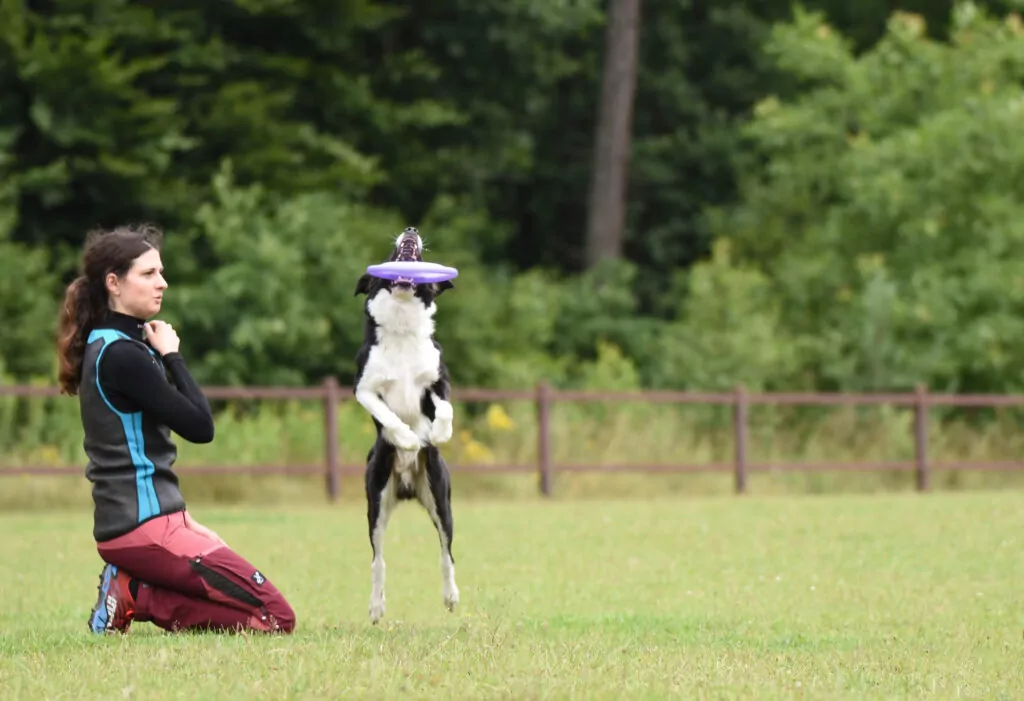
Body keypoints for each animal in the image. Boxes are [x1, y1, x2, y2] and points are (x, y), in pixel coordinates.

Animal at [356, 228, 460, 622]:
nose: (412, 229)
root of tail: (405, 486)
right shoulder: (364, 388)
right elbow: (387, 414)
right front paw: (406, 438)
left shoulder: (438, 380)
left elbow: (444, 407)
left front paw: (437, 433)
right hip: (376, 502)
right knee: (378, 560)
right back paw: (376, 607)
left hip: (441, 499)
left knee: (446, 553)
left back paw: (451, 596)